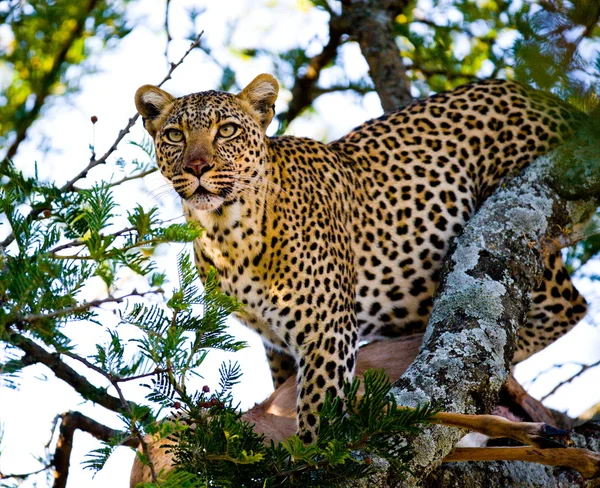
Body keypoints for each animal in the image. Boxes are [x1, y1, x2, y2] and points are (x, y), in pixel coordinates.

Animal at [135, 73, 584, 442]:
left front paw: (316, 460)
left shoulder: (326, 329)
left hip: (522, 225)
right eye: (174, 135)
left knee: (558, 313)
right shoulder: (276, 343)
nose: (197, 166)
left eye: (226, 130)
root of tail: (550, 100)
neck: (226, 234)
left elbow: (318, 410)